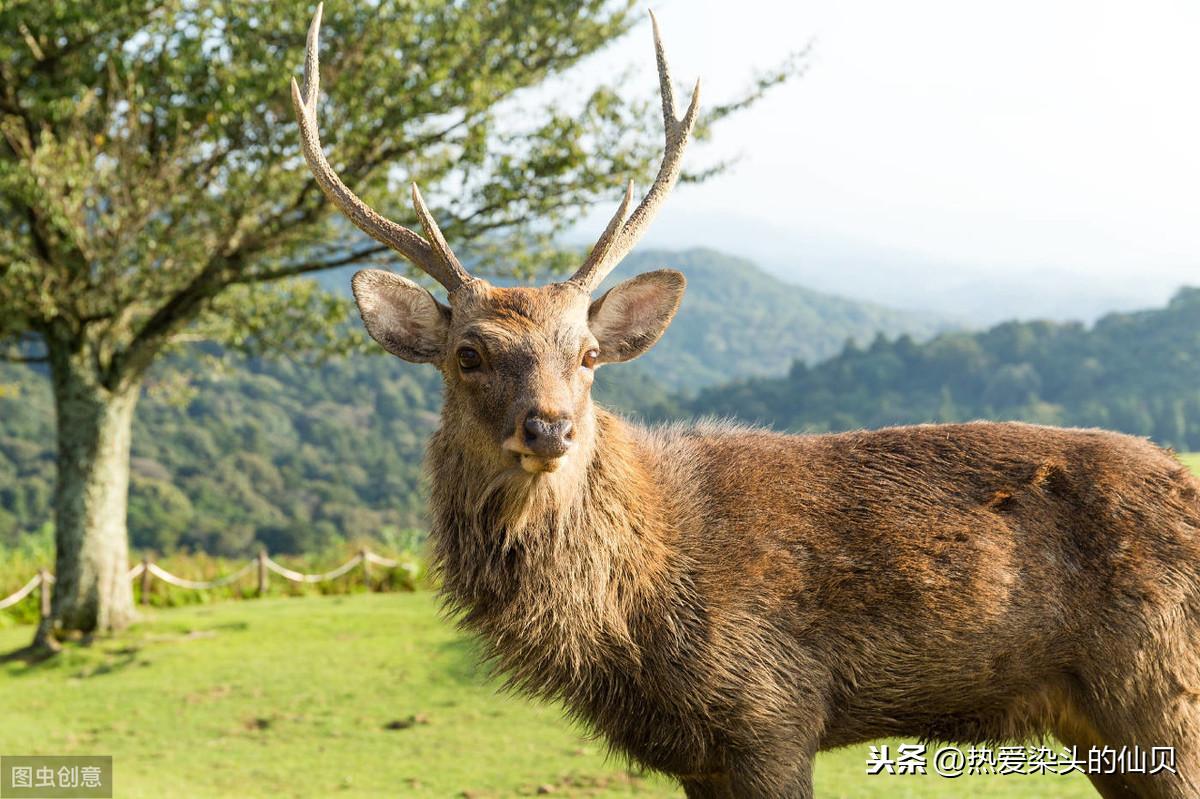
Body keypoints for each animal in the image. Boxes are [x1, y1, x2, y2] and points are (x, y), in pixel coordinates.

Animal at [290, 7, 1200, 796]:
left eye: (587, 354)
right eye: (468, 354)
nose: (549, 427)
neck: (639, 620)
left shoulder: (772, 707)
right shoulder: (700, 753)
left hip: (1162, 690)